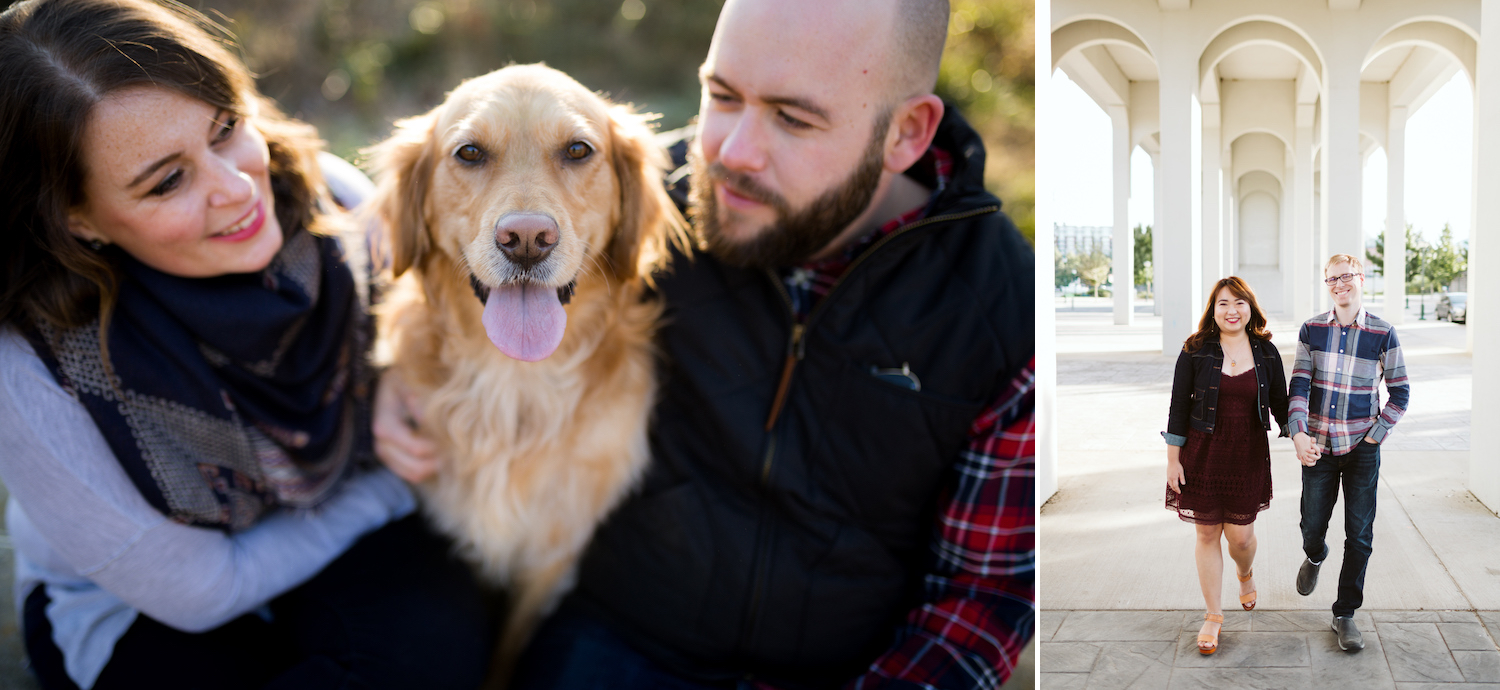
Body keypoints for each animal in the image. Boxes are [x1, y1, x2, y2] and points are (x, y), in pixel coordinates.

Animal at [369, 64, 687, 678]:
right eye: (469, 152)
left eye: (578, 150)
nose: (526, 240)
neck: (515, 381)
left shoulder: (550, 557)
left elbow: (507, 650)